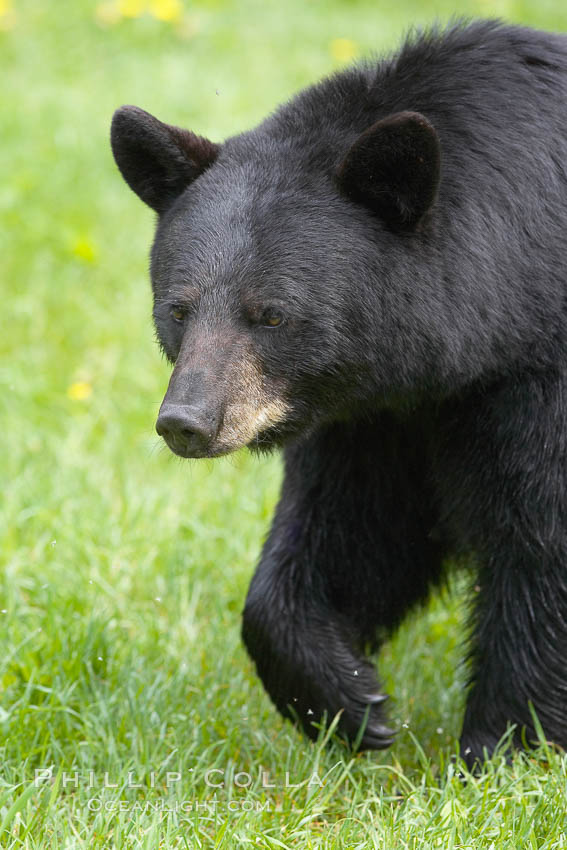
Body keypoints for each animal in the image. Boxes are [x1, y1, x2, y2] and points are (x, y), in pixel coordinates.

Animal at [111, 19, 567, 764]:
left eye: (271, 314)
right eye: (177, 308)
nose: (187, 421)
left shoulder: (532, 379)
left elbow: (539, 538)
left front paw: (503, 747)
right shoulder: (381, 416)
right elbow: (355, 529)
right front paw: (348, 701)